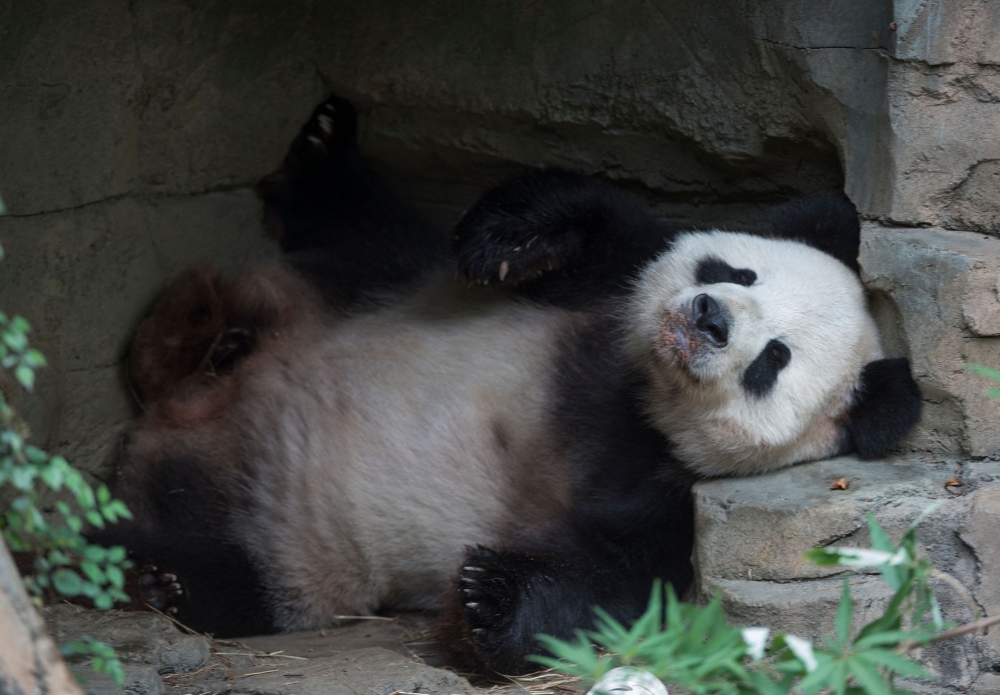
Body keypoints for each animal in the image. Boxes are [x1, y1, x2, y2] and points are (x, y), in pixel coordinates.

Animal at [98, 95, 922, 676]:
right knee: (366, 228)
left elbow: (612, 578)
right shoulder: (614, 279)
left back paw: (147, 574)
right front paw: (505, 242)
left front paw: (484, 597)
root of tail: (166, 430)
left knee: (234, 576)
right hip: (374, 287)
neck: (637, 392)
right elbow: (596, 214)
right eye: (736, 272)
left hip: (297, 549)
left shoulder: (678, 491)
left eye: (772, 361)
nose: (710, 318)